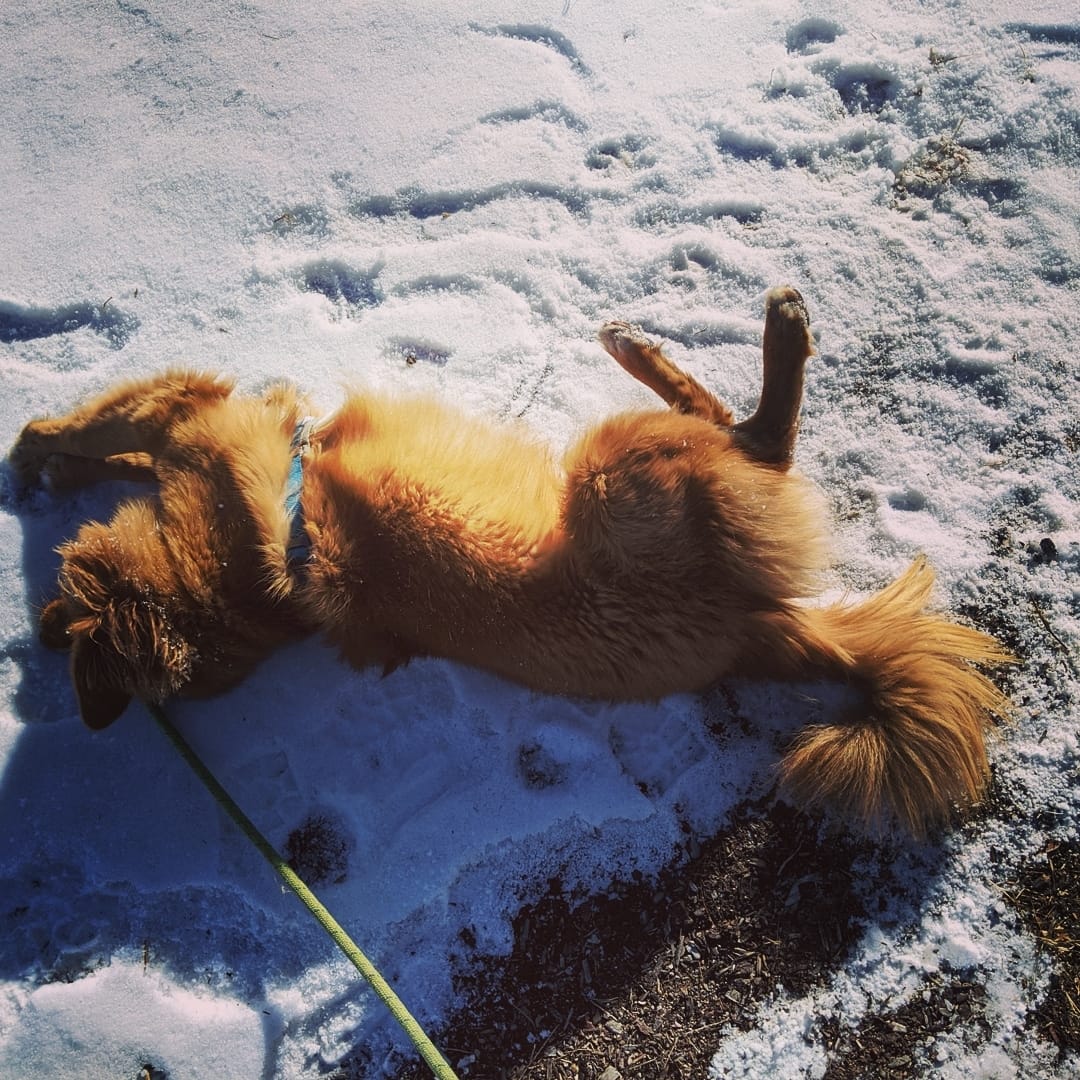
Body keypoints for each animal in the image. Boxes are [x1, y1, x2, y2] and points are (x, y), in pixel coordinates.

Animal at [10, 287, 1009, 836]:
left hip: (612, 470)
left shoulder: (189, 416)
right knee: (756, 434)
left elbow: (91, 433)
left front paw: (44, 465)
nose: (39, 635)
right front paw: (49, 463)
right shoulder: (187, 415)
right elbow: (95, 433)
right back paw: (741, 336)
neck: (233, 587)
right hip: (619, 470)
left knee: (743, 428)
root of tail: (748, 634)